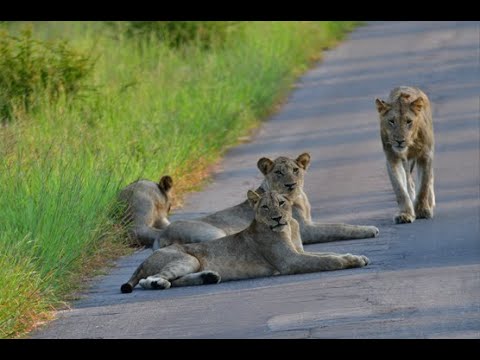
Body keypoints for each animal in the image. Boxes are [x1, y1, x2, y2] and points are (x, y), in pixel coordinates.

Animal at [121, 190, 372, 294]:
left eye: (282, 203)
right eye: (265, 207)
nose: (277, 218)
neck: (289, 226)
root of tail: (144, 260)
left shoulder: (299, 253)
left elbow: (328, 254)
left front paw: (356, 257)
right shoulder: (290, 262)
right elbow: (328, 260)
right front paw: (350, 261)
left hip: (192, 263)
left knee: (176, 280)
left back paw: (209, 277)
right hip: (185, 258)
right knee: (149, 280)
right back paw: (158, 284)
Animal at [153, 153, 378, 250]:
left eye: (295, 170)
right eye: (279, 172)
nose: (291, 184)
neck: (298, 197)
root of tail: (161, 236)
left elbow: (339, 223)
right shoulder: (307, 230)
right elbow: (339, 227)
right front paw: (369, 229)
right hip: (212, 232)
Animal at [376, 86, 436, 224]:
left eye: (409, 121)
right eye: (391, 121)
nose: (399, 141)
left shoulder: (425, 155)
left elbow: (424, 185)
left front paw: (422, 211)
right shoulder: (392, 158)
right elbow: (400, 189)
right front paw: (405, 214)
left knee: (430, 178)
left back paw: (431, 202)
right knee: (409, 182)